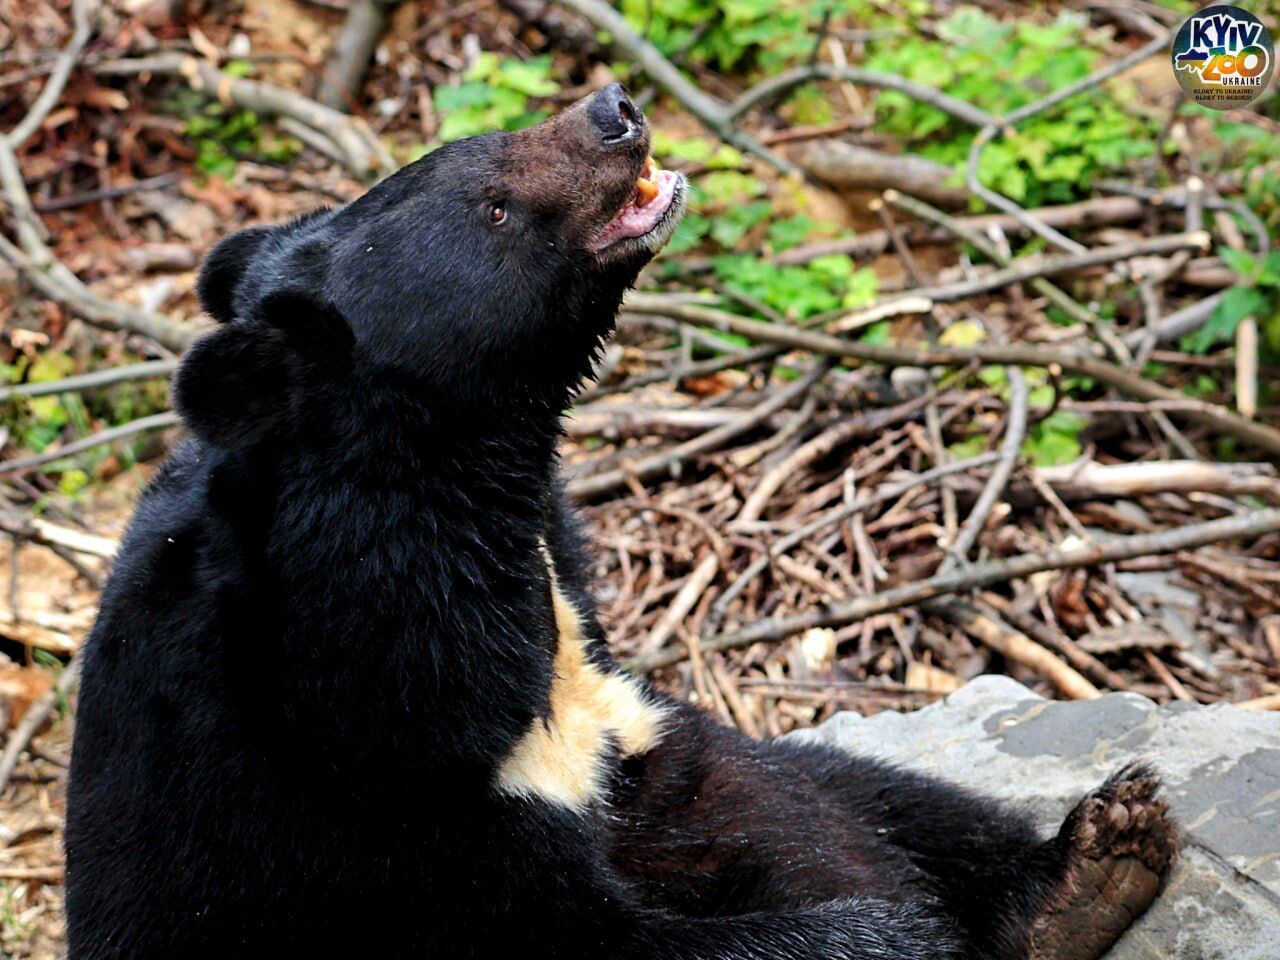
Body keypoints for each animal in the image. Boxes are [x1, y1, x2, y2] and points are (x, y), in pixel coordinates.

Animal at [64, 84, 1172, 960]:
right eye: (496, 207)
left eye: (479, 142)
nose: (614, 112)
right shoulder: (367, 807)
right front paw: (914, 931)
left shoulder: (610, 701)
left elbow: (803, 785)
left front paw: (1077, 870)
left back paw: (1096, 859)